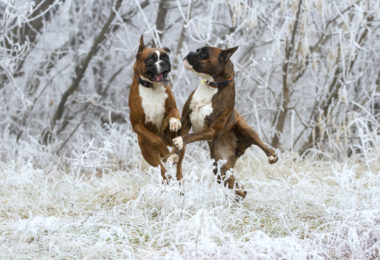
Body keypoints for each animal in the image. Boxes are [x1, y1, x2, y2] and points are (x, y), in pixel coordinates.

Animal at [129, 35, 183, 181]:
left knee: (179, 163)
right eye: (151, 58)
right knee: (162, 170)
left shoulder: (172, 107)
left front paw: (174, 123)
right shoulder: (137, 125)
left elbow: (173, 113)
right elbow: (155, 138)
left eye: (166, 56)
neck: (152, 87)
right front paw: (163, 150)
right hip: (149, 155)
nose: (164, 62)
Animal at [174, 46, 278, 197]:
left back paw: (272, 157)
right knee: (239, 190)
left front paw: (180, 141)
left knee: (264, 145)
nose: (191, 52)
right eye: (198, 50)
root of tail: (238, 149)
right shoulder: (186, 121)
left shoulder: (210, 130)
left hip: (247, 131)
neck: (212, 85)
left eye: (203, 53)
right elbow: (181, 144)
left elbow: (190, 136)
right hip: (220, 168)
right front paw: (175, 155)